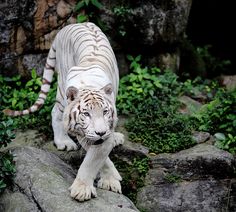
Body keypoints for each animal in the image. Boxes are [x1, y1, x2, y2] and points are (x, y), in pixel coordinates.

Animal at [3, 22, 124, 202]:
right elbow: (94, 160)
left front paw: (106, 181)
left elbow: (95, 158)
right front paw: (88, 188)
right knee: (55, 112)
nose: (101, 132)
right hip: (61, 90)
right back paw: (64, 142)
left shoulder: (104, 131)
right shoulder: (83, 132)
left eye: (104, 112)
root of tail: (69, 26)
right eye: (86, 114)